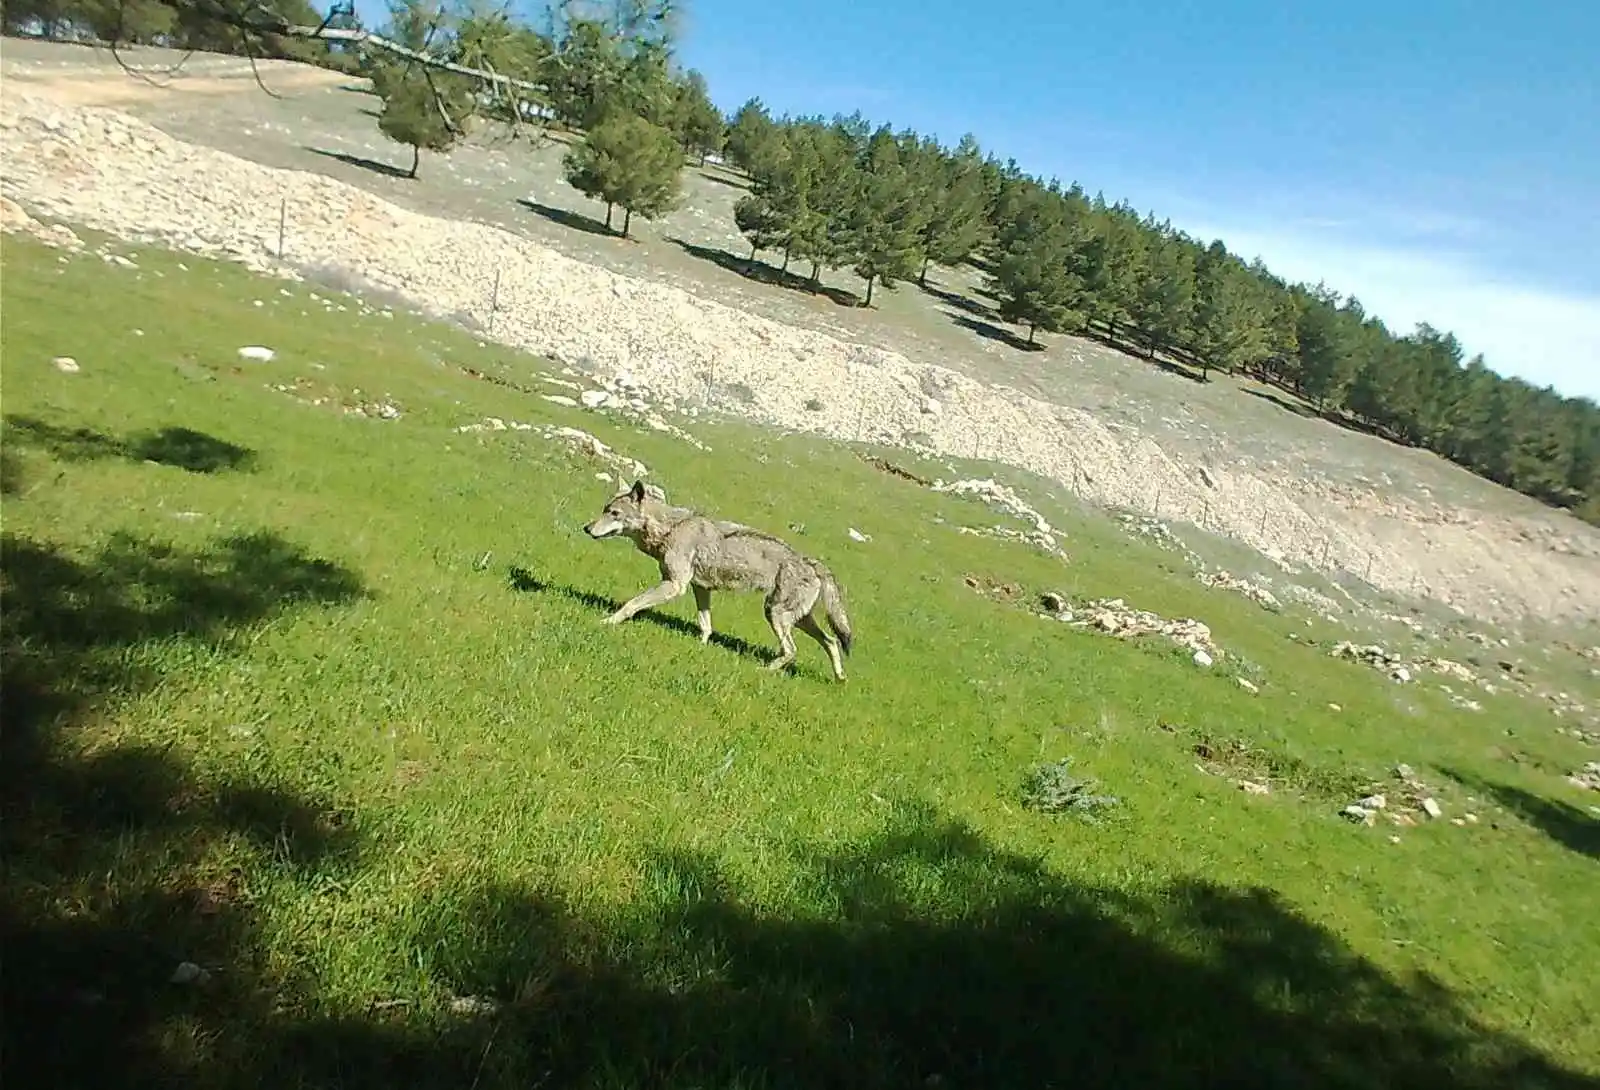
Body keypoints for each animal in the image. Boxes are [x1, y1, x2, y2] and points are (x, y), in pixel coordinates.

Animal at [585, 476, 857, 678]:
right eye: (604, 510)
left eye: (614, 513)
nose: (586, 528)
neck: (670, 529)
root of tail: (812, 562)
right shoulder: (700, 589)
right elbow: (706, 625)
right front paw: (700, 647)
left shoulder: (674, 585)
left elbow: (631, 604)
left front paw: (608, 621)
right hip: (797, 619)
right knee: (831, 641)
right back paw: (839, 678)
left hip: (776, 614)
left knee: (791, 650)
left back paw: (763, 670)